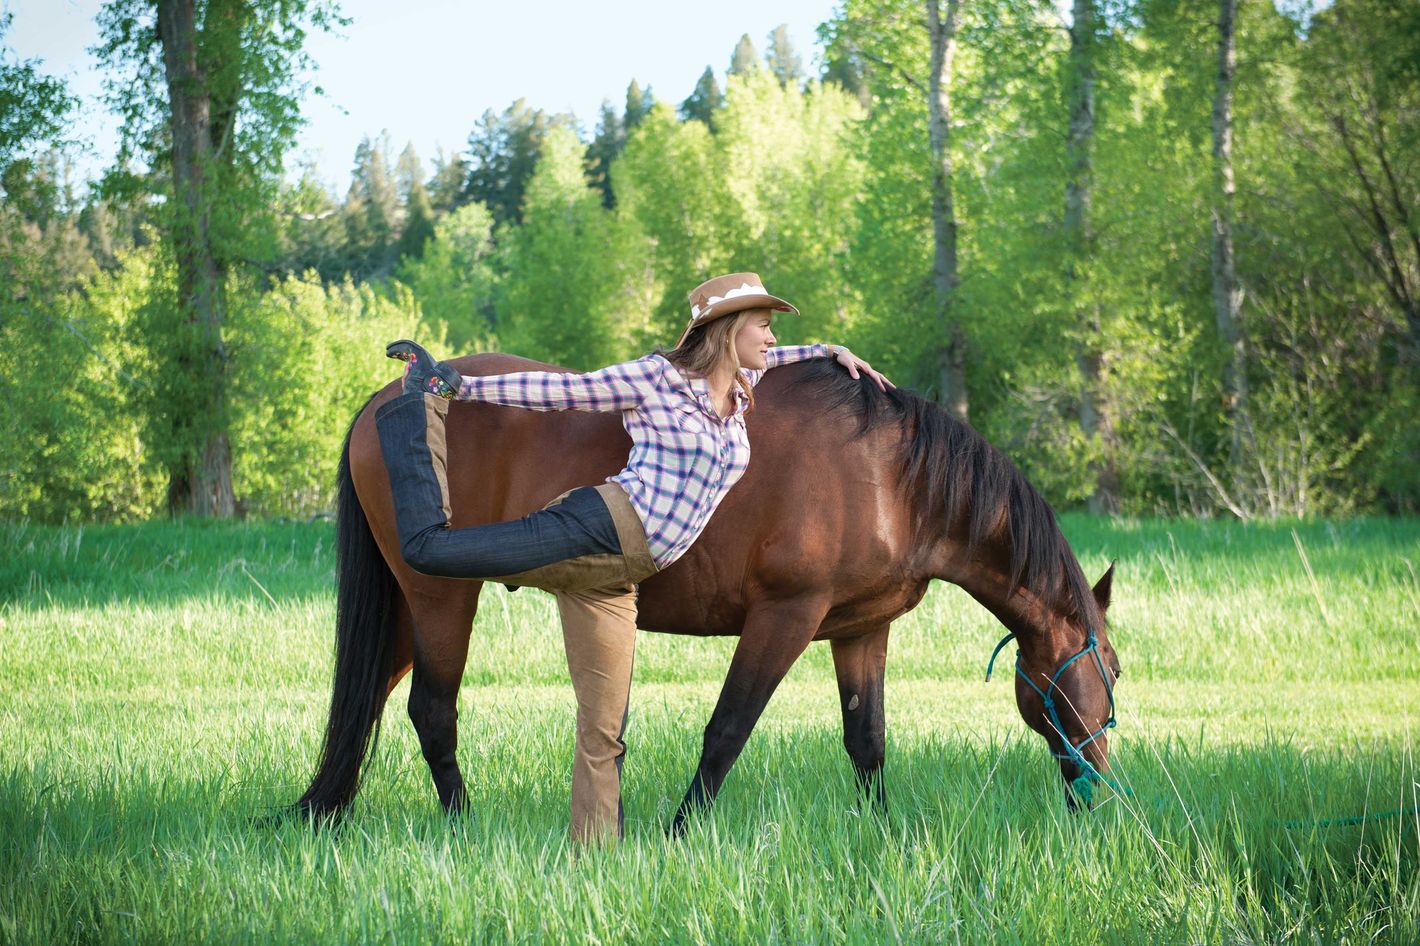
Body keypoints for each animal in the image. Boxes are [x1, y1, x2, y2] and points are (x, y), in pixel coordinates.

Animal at [296, 352, 1118, 823]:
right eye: (1106, 671)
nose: (1100, 790)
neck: (889, 477)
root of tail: (377, 406)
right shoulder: (785, 616)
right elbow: (728, 729)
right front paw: (678, 832)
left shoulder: (859, 629)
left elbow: (867, 742)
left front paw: (885, 834)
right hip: (441, 597)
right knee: (432, 711)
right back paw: (463, 826)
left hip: (409, 607)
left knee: (367, 704)